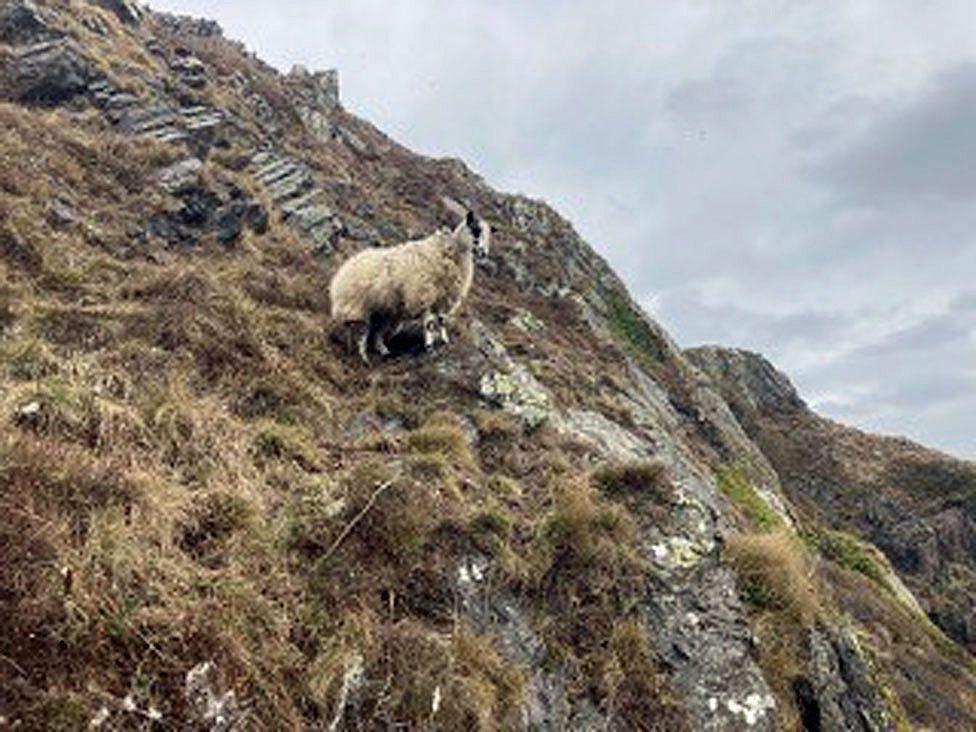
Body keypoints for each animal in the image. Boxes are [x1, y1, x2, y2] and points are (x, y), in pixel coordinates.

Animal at [332, 203, 492, 364]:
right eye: (476, 230)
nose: (483, 253)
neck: (451, 252)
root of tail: (345, 267)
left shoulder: (444, 297)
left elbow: (441, 320)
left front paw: (444, 340)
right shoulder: (425, 294)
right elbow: (429, 324)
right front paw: (429, 347)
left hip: (384, 313)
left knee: (376, 332)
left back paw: (384, 351)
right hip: (356, 307)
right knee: (360, 333)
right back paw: (362, 357)